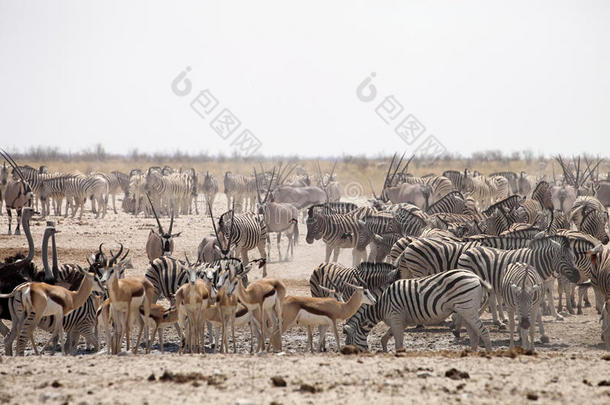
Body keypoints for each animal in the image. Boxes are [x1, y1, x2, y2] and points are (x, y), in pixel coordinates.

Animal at [342, 270, 490, 352]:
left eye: (349, 343)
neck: (381, 303)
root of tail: (476, 276)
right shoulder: (399, 321)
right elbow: (384, 338)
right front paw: (385, 352)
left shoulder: (396, 317)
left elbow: (398, 344)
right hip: (466, 311)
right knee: (474, 335)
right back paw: (471, 353)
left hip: (467, 309)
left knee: (483, 331)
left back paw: (488, 352)